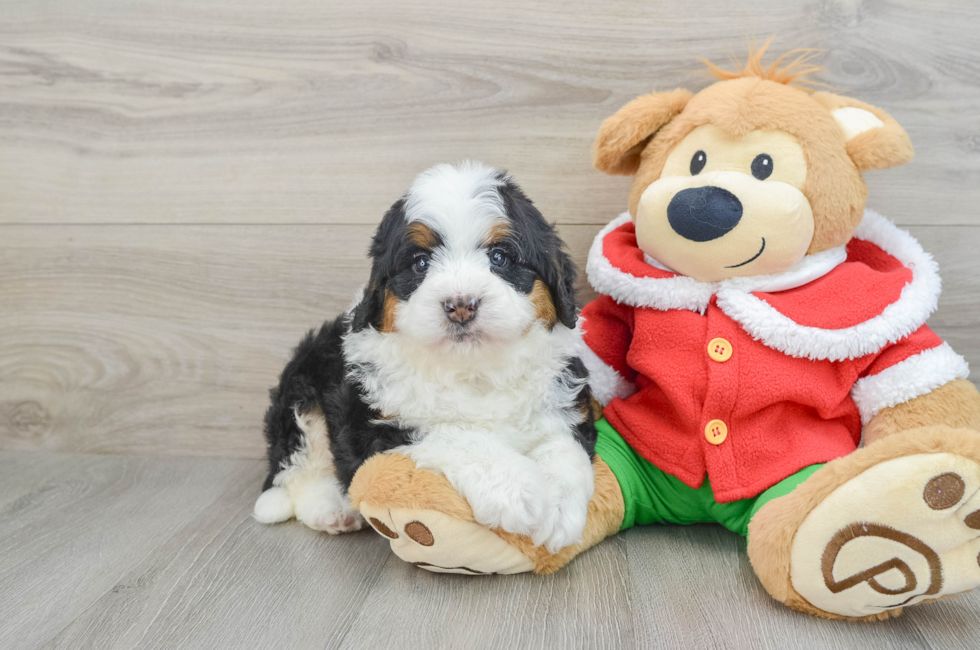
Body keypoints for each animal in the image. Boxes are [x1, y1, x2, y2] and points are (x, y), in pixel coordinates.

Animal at [253, 162, 596, 552]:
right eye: (420, 263)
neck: (473, 370)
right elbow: (451, 434)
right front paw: (515, 490)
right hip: (302, 385)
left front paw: (559, 509)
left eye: (500, 257)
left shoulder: (566, 400)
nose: (461, 304)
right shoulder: (376, 425)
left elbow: (564, 447)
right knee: (297, 468)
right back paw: (333, 508)